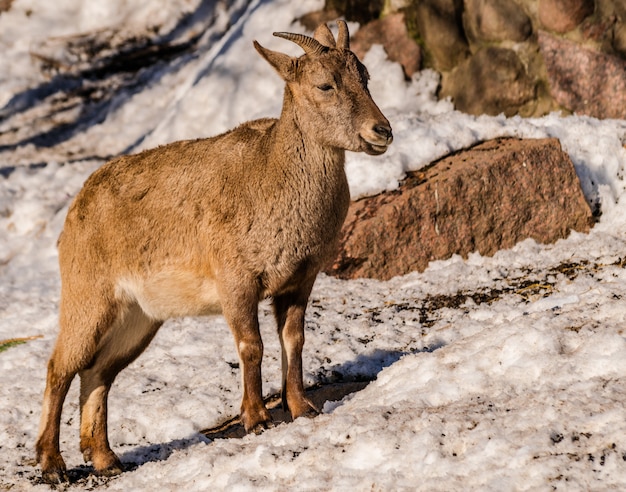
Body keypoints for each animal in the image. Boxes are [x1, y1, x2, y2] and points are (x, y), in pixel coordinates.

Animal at [35, 21, 390, 482]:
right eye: (324, 84)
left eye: (364, 77)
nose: (381, 131)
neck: (272, 175)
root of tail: (74, 212)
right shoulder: (236, 280)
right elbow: (251, 345)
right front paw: (256, 419)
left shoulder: (299, 279)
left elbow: (293, 339)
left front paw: (301, 408)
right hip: (88, 297)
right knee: (60, 367)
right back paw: (52, 464)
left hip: (138, 317)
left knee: (98, 372)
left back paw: (106, 459)